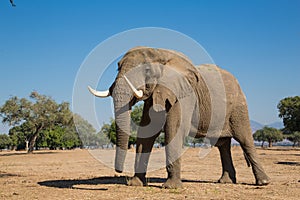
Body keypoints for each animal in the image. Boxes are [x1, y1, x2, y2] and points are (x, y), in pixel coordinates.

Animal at [88, 47, 270, 189]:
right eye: (118, 68)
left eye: (147, 70)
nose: (118, 171)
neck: (161, 53)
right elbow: (146, 133)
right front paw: (135, 184)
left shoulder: (183, 94)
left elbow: (173, 130)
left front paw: (171, 187)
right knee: (223, 145)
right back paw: (226, 182)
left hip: (239, 106)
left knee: (245, 139)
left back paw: (263, 182)